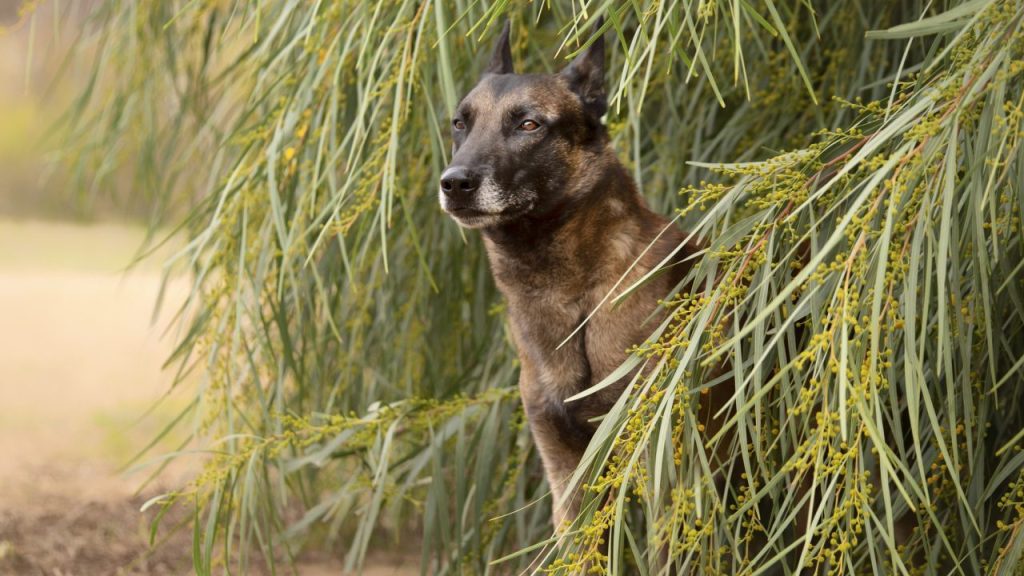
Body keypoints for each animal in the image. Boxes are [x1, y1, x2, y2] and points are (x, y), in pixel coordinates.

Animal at [438, 20, 729, 532]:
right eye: (460, 123)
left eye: (529, 124)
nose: (454, 184)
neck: (573, 296)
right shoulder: (568, 477)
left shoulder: (665, 480)